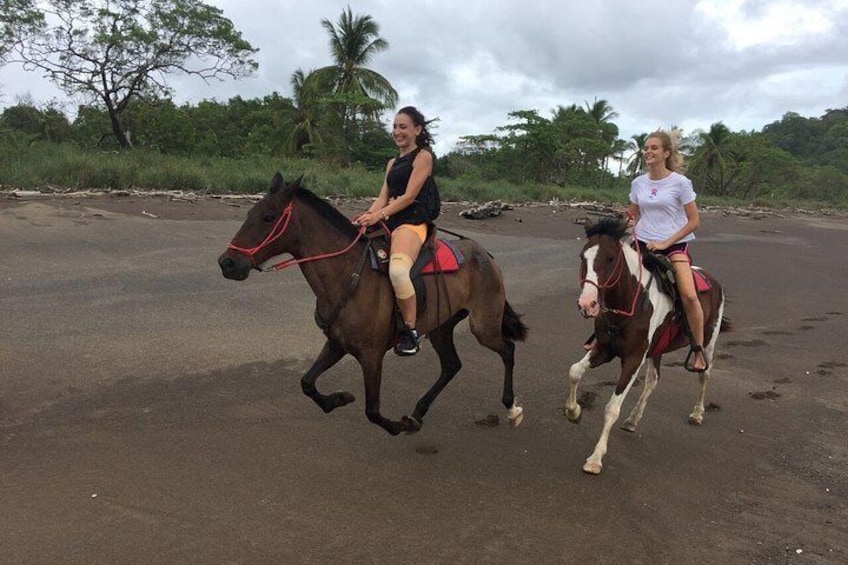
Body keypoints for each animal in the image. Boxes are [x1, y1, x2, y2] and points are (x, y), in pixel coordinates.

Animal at [217, 174, 524, 434]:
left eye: (268, 217)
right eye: (248, 214)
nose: (227, 262)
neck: (348, 273)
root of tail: (485, 254)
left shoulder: (372, 355)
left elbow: (372, 411)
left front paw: (397, 426)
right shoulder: (337, 343)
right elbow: (307, 383)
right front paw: (338, 399)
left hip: (483, 326)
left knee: (507, 350)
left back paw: (511, 408)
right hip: (442, 326)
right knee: (451, 366)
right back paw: (418, 412)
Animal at [564, 218, 728, 474]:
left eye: (610, 258)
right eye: (583, 257)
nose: (587, 304)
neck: (628, 305)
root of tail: (713, 280)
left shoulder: (633, 358)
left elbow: (612, 407)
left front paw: (595, 458)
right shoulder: (604, 349)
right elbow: (574, 371)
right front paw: (573, 412)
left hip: (708, 343)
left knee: (705, 374)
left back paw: (697, 413)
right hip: (657, 349)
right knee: (652, 381)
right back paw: (632, 420)